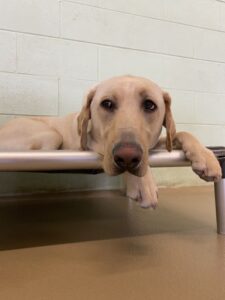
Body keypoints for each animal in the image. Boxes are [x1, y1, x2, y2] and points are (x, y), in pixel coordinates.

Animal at [0, 75, 221, 209]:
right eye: (106, 103)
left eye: (150, 105)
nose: (128, 157)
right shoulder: (92, 144)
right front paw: (143, 184)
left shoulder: (152, 144)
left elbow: (182, 133)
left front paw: (205, 156)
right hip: (51, 135)